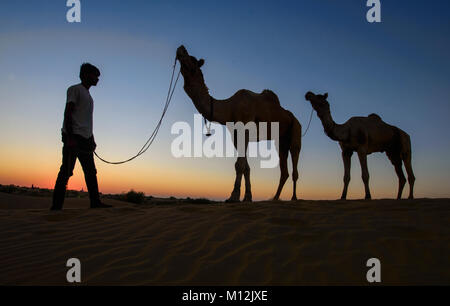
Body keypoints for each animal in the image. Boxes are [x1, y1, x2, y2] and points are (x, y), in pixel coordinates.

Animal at [176, 45, 302, 202]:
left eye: (192, 59)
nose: (181, 48)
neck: (230, 107)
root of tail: (293, 117)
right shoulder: (235, 134)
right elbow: (245, 166)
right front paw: (247, 196)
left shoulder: (244, 129)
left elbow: (239, 165)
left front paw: (233, 196)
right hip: (281, 140)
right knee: (284, 169)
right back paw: (275, 197)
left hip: (296, 128)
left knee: (295, 159)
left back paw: (294, 197)